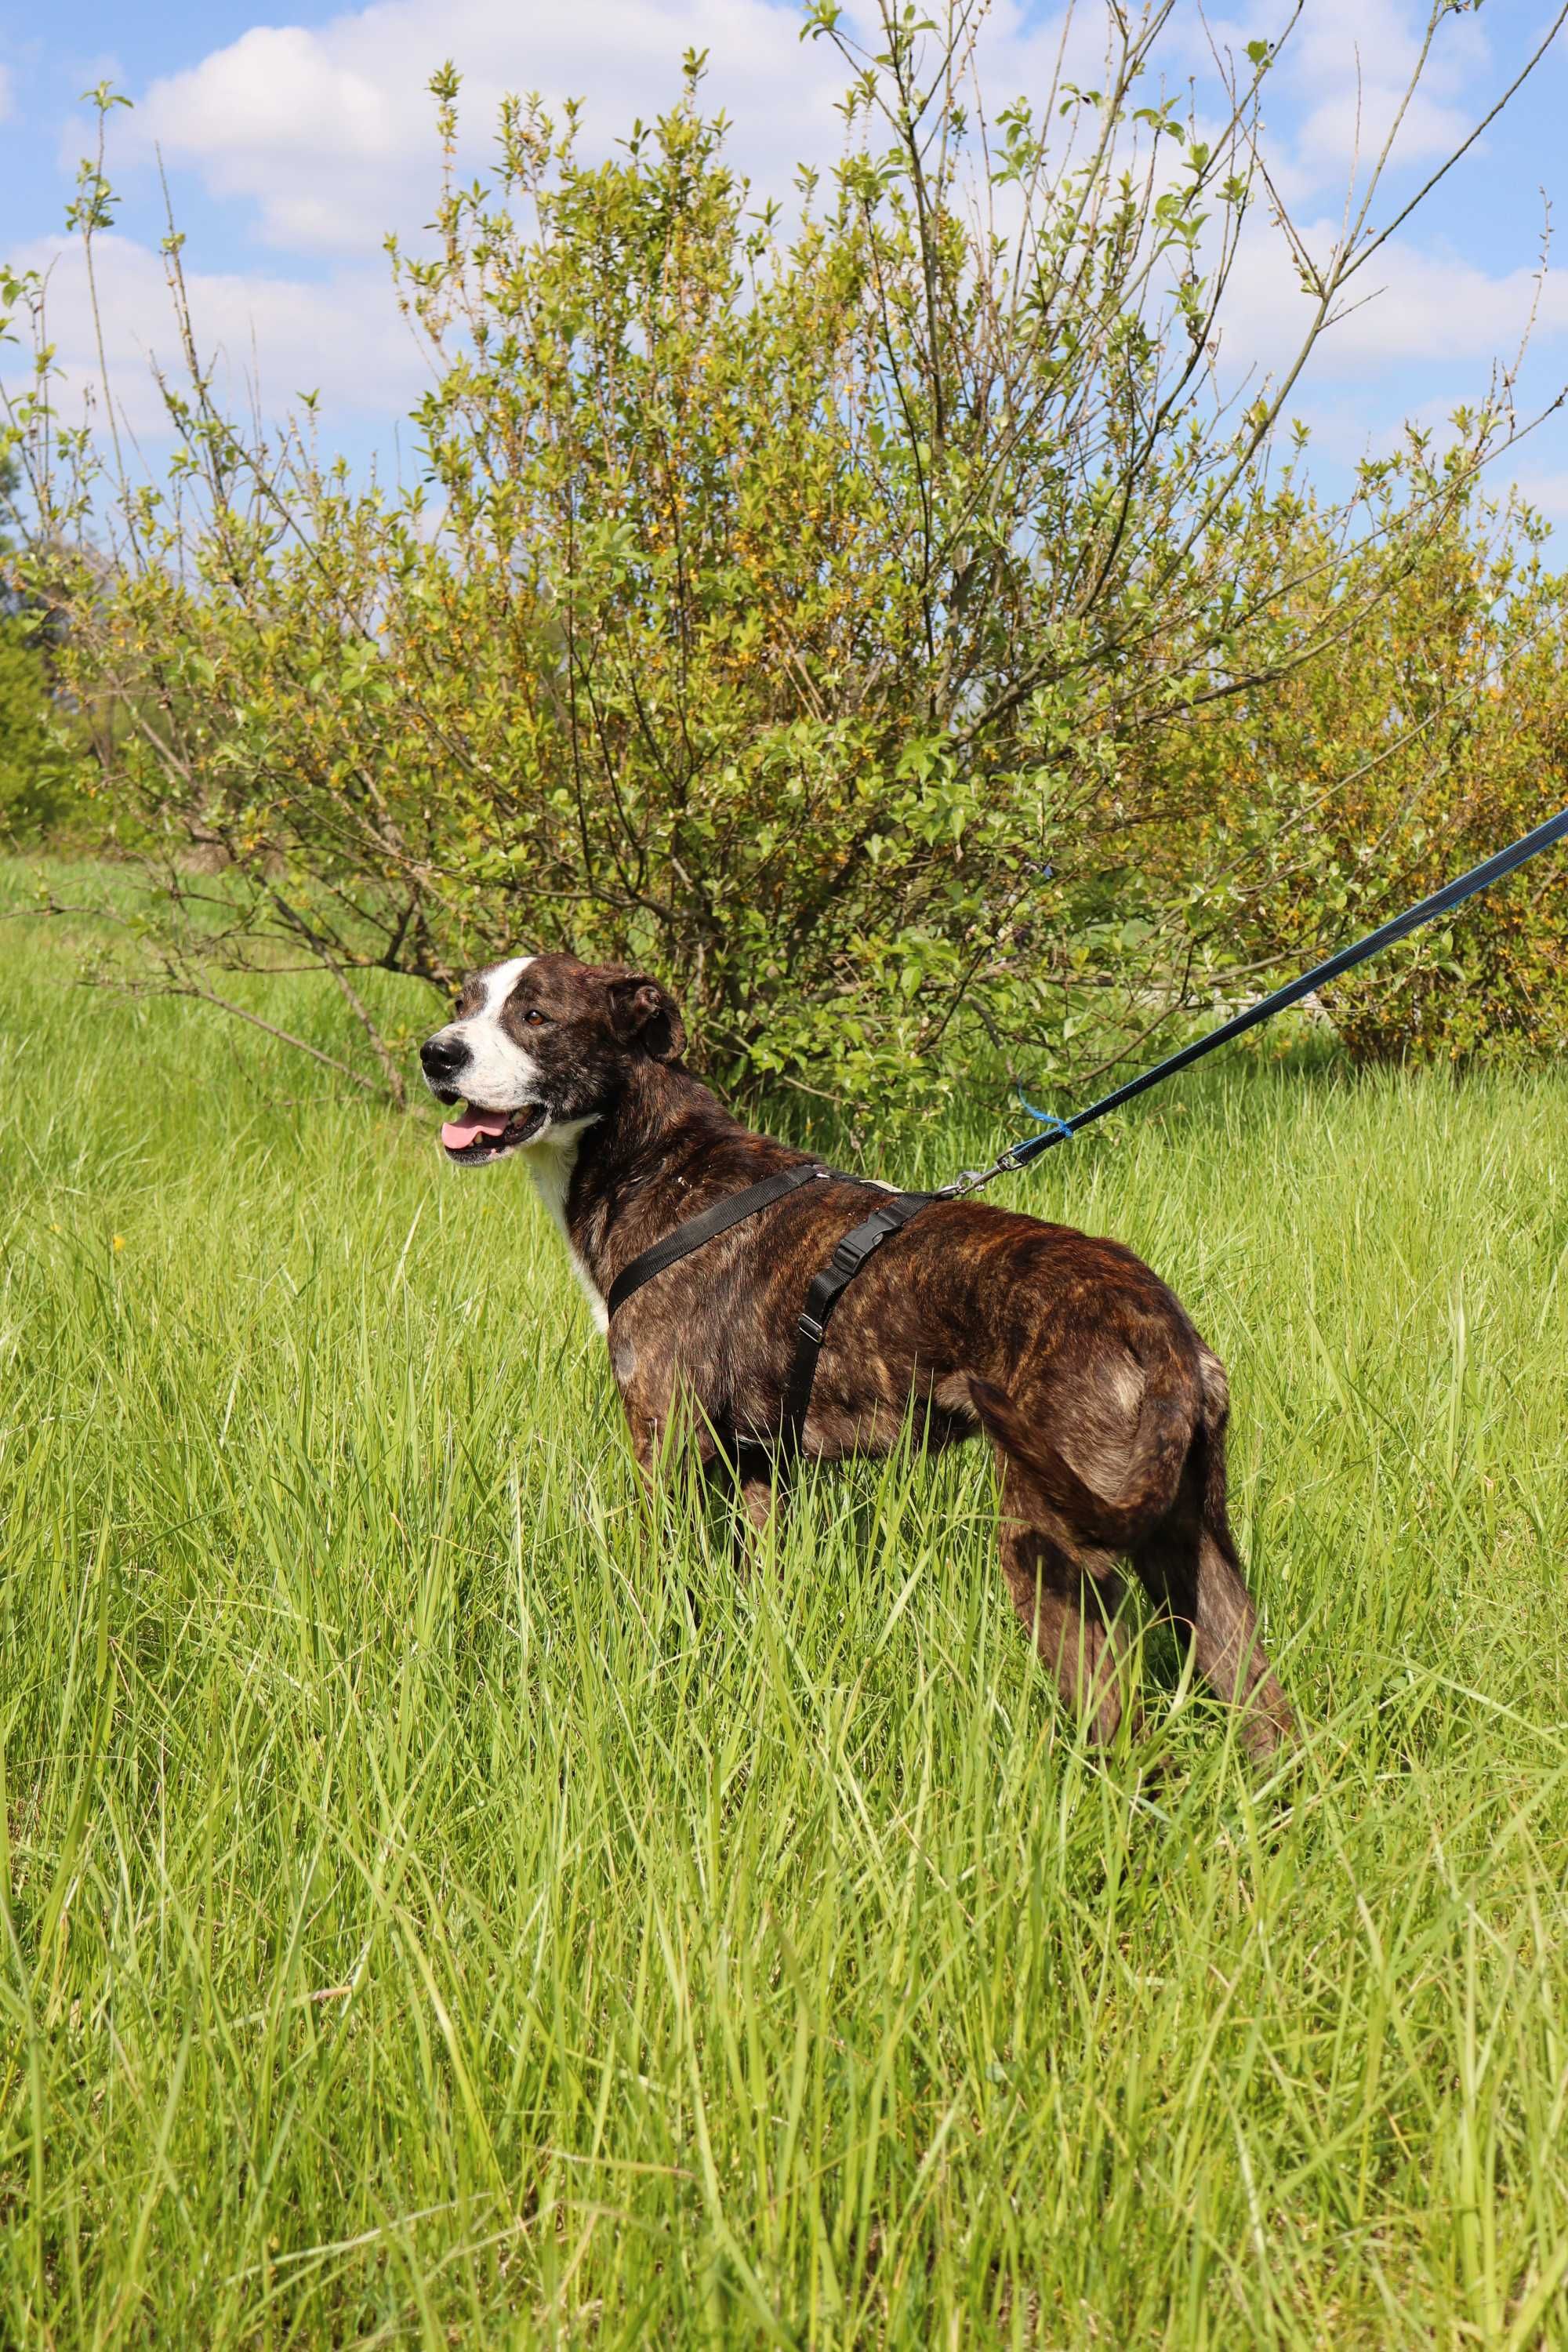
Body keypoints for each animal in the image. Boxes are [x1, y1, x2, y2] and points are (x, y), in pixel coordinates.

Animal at [423, 950, 1298, 1750]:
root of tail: (1154, 1325)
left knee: (1120, 1731)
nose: (436, 1053)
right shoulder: (760, 1469)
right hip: (1196, 1552)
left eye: (536, 1016)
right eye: (462, 1003)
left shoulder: (664, 1445)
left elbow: (656, 1590)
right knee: (1266, 1716)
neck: (652, 1160)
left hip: (1050, 1550)